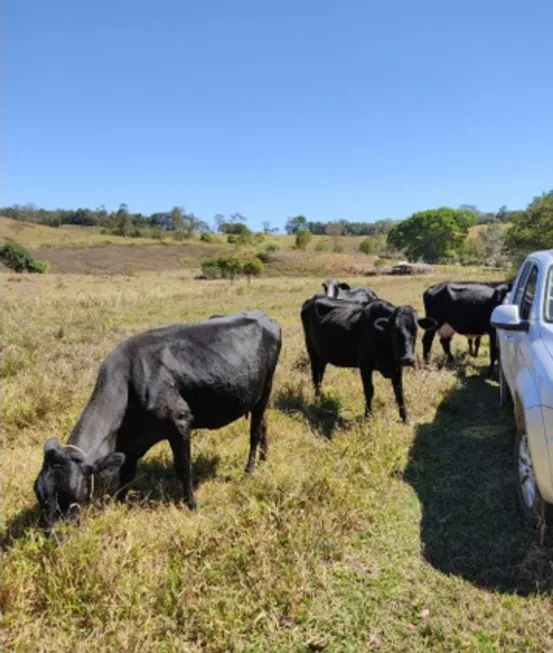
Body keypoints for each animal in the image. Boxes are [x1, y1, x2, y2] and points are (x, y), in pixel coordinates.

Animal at [34, 308, 282, 528]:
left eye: (70, 493)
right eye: (39, 491)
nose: (52, 533)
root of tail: (263, 315)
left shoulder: (180, 421)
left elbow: (183, 467)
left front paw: (192, 505)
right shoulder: (130, 441)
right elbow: (126, 473)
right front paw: (120, 502)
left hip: (266, 388)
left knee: (255, 430)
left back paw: (250, 469)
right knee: (263, 425)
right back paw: (264, 459)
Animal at [302, 296, 436, 422]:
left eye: (415, 329)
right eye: (394, 329)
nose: (407, 359)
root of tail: (312, 299)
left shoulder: (397, 366)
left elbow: (399, 391)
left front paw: (405, 418)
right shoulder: (364, 365)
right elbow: (369, 390)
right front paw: (368, 415)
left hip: (322, 355)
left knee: (320, 375)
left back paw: (321, 397)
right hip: (312, 351)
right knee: (315, 377)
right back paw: (316, 401)